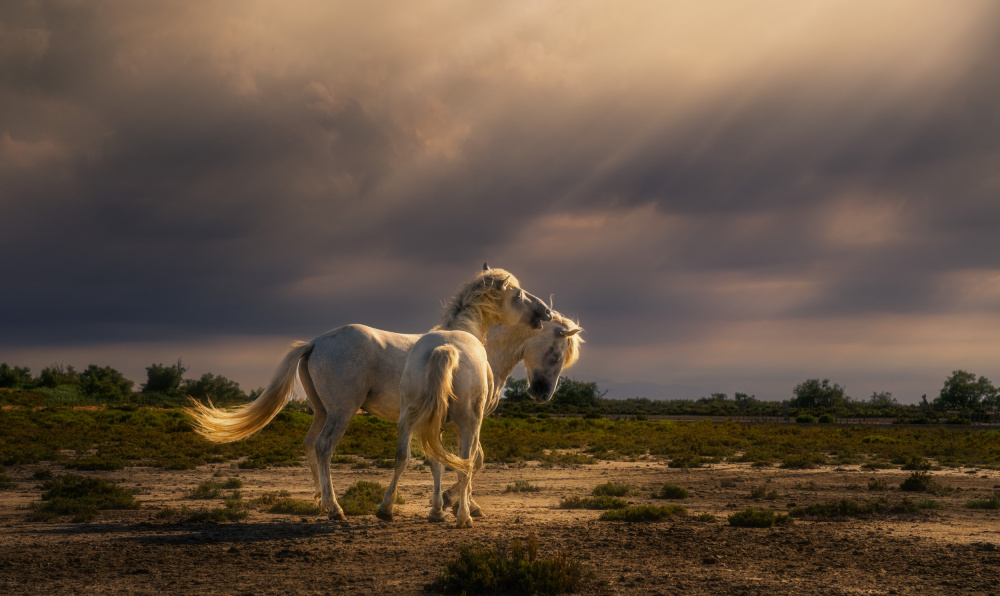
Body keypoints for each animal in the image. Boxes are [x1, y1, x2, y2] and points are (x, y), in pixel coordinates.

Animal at [182, 268, 572, 520]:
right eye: (557, 352)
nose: (542, 394)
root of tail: (316, 341)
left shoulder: (433, 422)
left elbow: (439, 460)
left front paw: (441, 506)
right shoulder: (468, 421)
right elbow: (471, 460)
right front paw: (461, 505)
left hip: (324, 411)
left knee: (310, 446)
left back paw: (321, 501)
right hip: (343, 412)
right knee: (324, 448)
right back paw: (336, 509)